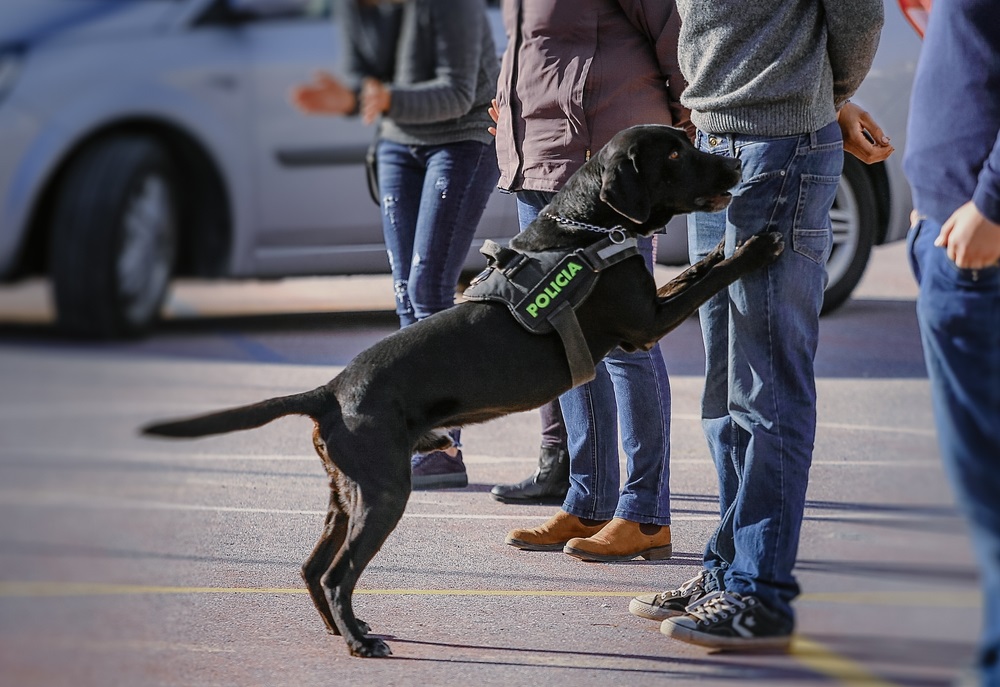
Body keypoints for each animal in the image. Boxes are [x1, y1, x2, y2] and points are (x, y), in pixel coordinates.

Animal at [141, 125, 784, 660]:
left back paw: (344, 630)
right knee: (335, 573)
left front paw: (729, 244)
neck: (589, 227)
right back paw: (359, 642)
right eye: (674, 154)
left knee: (310, 568)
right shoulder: (645, 324)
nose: (733, 165)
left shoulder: (649, 307)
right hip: (383, 492)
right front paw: (755, 246)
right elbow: (709, 278)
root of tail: (331, 389)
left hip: (346, 493)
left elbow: (699, 269)